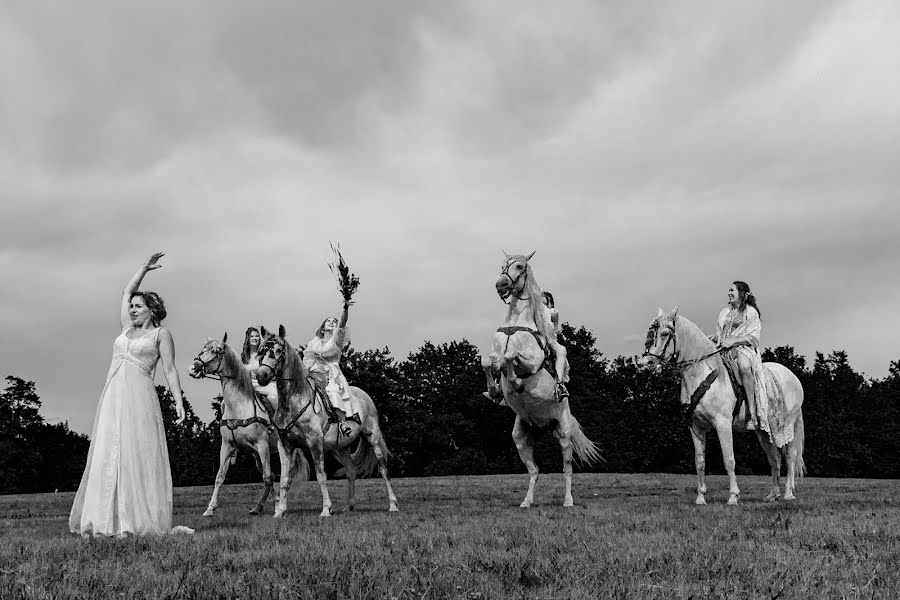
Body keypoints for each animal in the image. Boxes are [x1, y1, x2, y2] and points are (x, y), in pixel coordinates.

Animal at [255, 326, 400, 516]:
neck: (294, 402)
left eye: (278, 351)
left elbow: (321, 475)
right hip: (341, 447)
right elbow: (285, 479)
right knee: (351, 472)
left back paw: (393, 505)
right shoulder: (285, 445)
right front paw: (280, 512)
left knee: (384, 469)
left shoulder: (314, 442)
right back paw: (348, 506)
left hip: (372, 437)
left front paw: (326, 509)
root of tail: (364, 395)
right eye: (261, 351)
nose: (261, 375)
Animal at [482, 251, 600, 508]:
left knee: (567, 469)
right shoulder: (493, 355)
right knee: (534, 470)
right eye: (503, 265)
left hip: (564, 434)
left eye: (519, 266)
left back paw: (568, 501)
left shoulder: (532, 360)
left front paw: (516, 383)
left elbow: (510, 358)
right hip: (521, 437)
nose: (500, 285)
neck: (516, 324)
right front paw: (495, 391)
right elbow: (489, 361)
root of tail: (544, 427)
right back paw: (527, 502)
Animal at [640, 308, 808, 504]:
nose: (646, 363)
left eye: (665, 333)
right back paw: (773, 494)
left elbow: (729, 459)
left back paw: (788, 493)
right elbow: (700, 462)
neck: (703, 373)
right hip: (763, 431)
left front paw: (733, 496)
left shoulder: (723, 424)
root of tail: (793, 377)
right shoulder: (696, 426)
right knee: (774, 459)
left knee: (790, 457)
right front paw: (701, 497)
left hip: (789, 425)